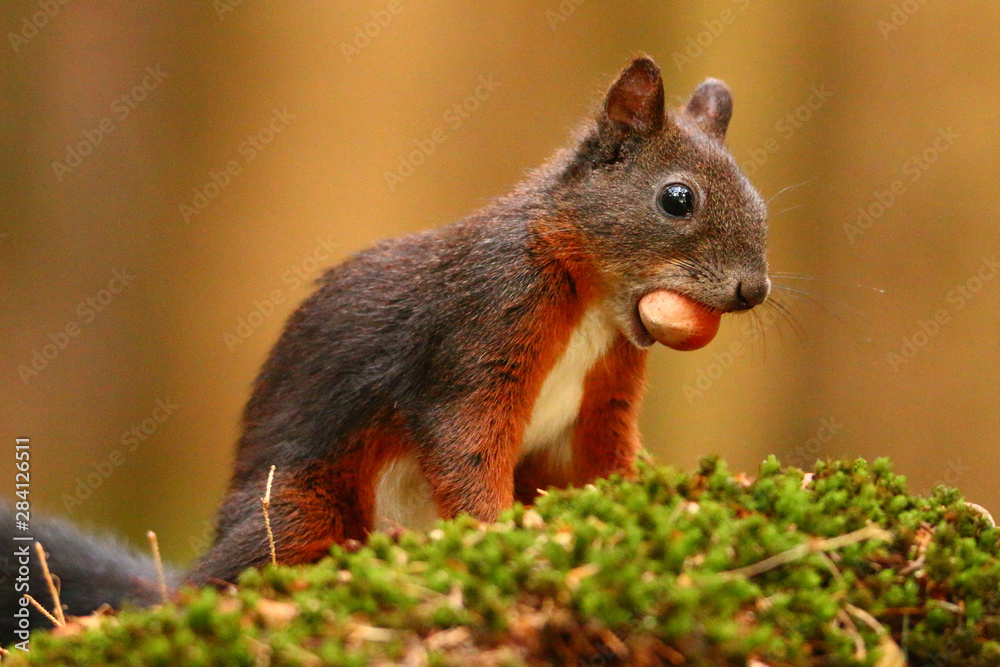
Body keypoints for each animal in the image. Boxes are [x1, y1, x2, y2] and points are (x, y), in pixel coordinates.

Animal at [1, 55, 769, 643]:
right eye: (677, 198)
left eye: (759, 199)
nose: (754, 289)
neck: (594, 302)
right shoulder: (480, 330)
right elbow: (464, 442)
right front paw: (501, 535)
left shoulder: (603, 397)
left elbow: (604, 460)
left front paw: (670, 500)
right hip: (301, 505)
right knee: (243, 567)